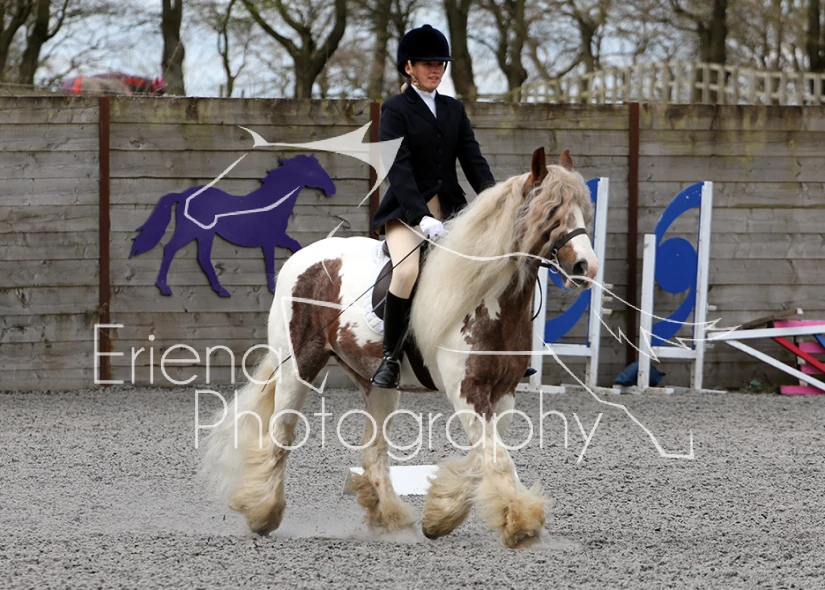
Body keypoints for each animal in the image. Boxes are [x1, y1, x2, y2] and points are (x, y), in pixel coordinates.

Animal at [130, 154, 336, 296]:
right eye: (313, 171)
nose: (332, 189)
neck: (272, 204)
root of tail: (182, 195)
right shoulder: (272, 240)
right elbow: (280, 258)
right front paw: (274, 289)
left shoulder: (272, 241)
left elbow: (291, 250)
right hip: (190, 231)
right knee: (171, 248)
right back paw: (165, 287)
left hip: (205, 234)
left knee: (202, 257)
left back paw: (220, 290)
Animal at [201, 148, 599, 548]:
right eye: (552, 212)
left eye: (585, 211)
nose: (586, 267)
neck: (487, 296)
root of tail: (301, 259)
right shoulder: (467, 390)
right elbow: (495, 456)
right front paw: (520, 523)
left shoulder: (503, 394)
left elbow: (483, 455)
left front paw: (440, 516)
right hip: (298, 368)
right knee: (281, 434)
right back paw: (263, 512)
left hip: (377, 384)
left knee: (373, 448)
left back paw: (387, 516)